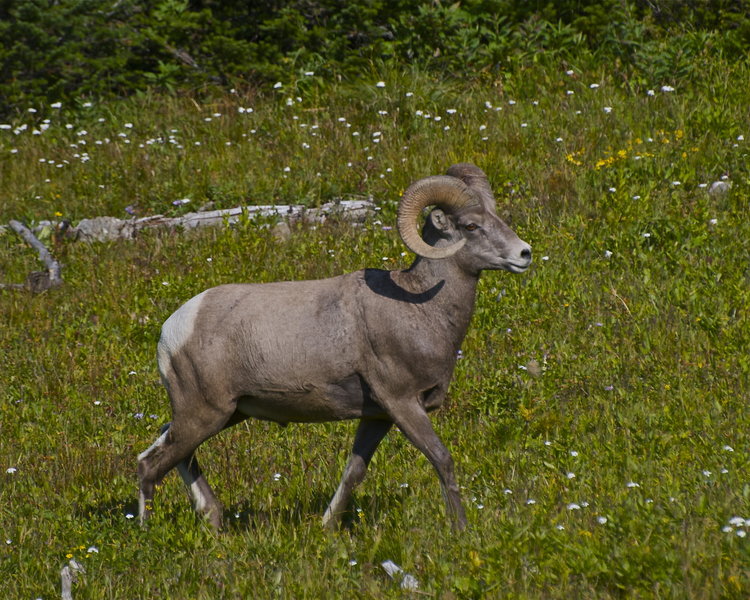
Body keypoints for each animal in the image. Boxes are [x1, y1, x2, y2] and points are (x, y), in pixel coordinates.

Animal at [138, 163, 532, 528]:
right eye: (470, 226)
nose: (524, 254)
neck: (419, 307)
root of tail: (173, 330)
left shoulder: (376, 417)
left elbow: (353, 473)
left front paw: (327, 527)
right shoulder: (403, 403)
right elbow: (441, 459)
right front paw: (461, 529)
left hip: (227, 413)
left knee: (168, 450)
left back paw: (214, 520)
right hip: (206, 413)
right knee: (150, 465)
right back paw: (146, 530)